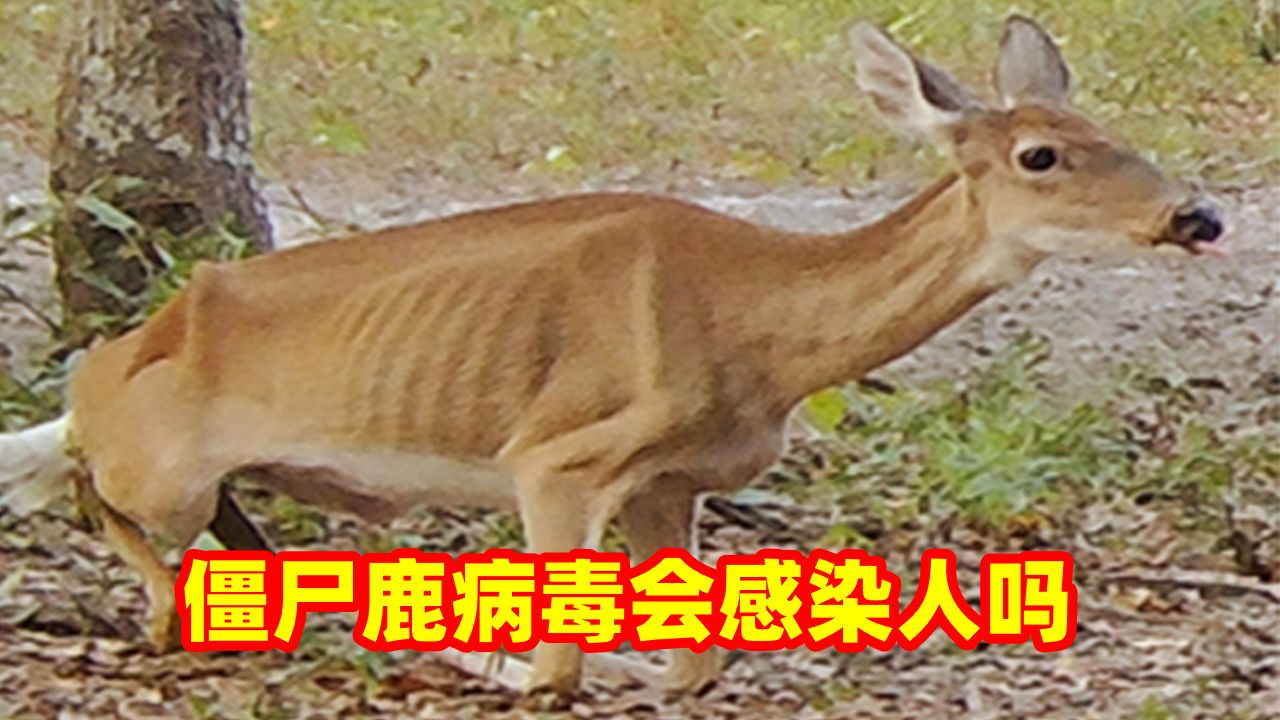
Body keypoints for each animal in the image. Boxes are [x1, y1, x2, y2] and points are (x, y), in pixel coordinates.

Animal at [0, 16, 1227, 697]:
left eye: (1119, 135)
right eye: (1040, 155)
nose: (1198, 214)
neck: (760, 329)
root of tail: (122, 360)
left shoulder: (673, 475)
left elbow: (693, 659)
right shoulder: (559, 454)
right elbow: (558, 666)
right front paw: (484, 660)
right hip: (154, 457)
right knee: (97, 481)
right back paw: (179, 603)